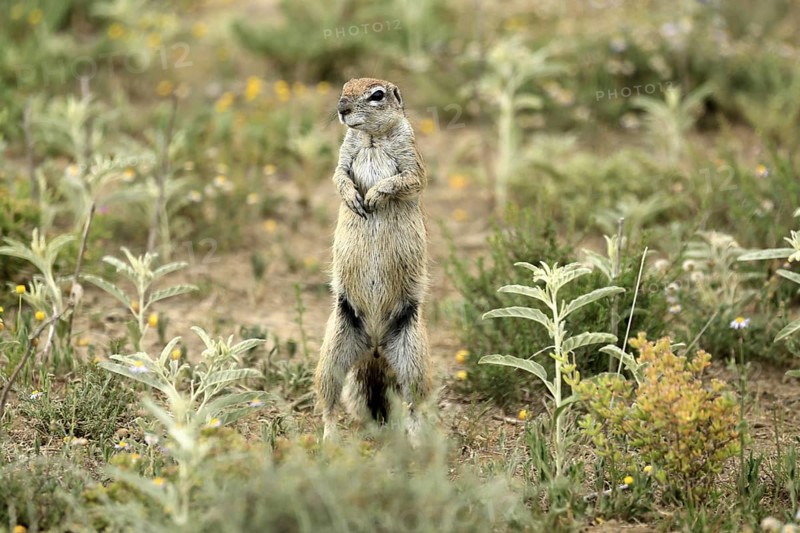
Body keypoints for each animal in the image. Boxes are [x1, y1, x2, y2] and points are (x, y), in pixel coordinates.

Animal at [314, 78, 431, 441]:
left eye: (377, 95)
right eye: (343, 88)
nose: (341, 108)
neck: (371, 138)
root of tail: (376, 347)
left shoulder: (411, 158)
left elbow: (407, 180)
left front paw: (375, 195)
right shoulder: (344, 155)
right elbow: (337, 176)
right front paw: (353, 198)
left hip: (413, 357)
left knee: (415, 403)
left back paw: (417, 439)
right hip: (333, 350)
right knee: (329, 400)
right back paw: (329, 438)